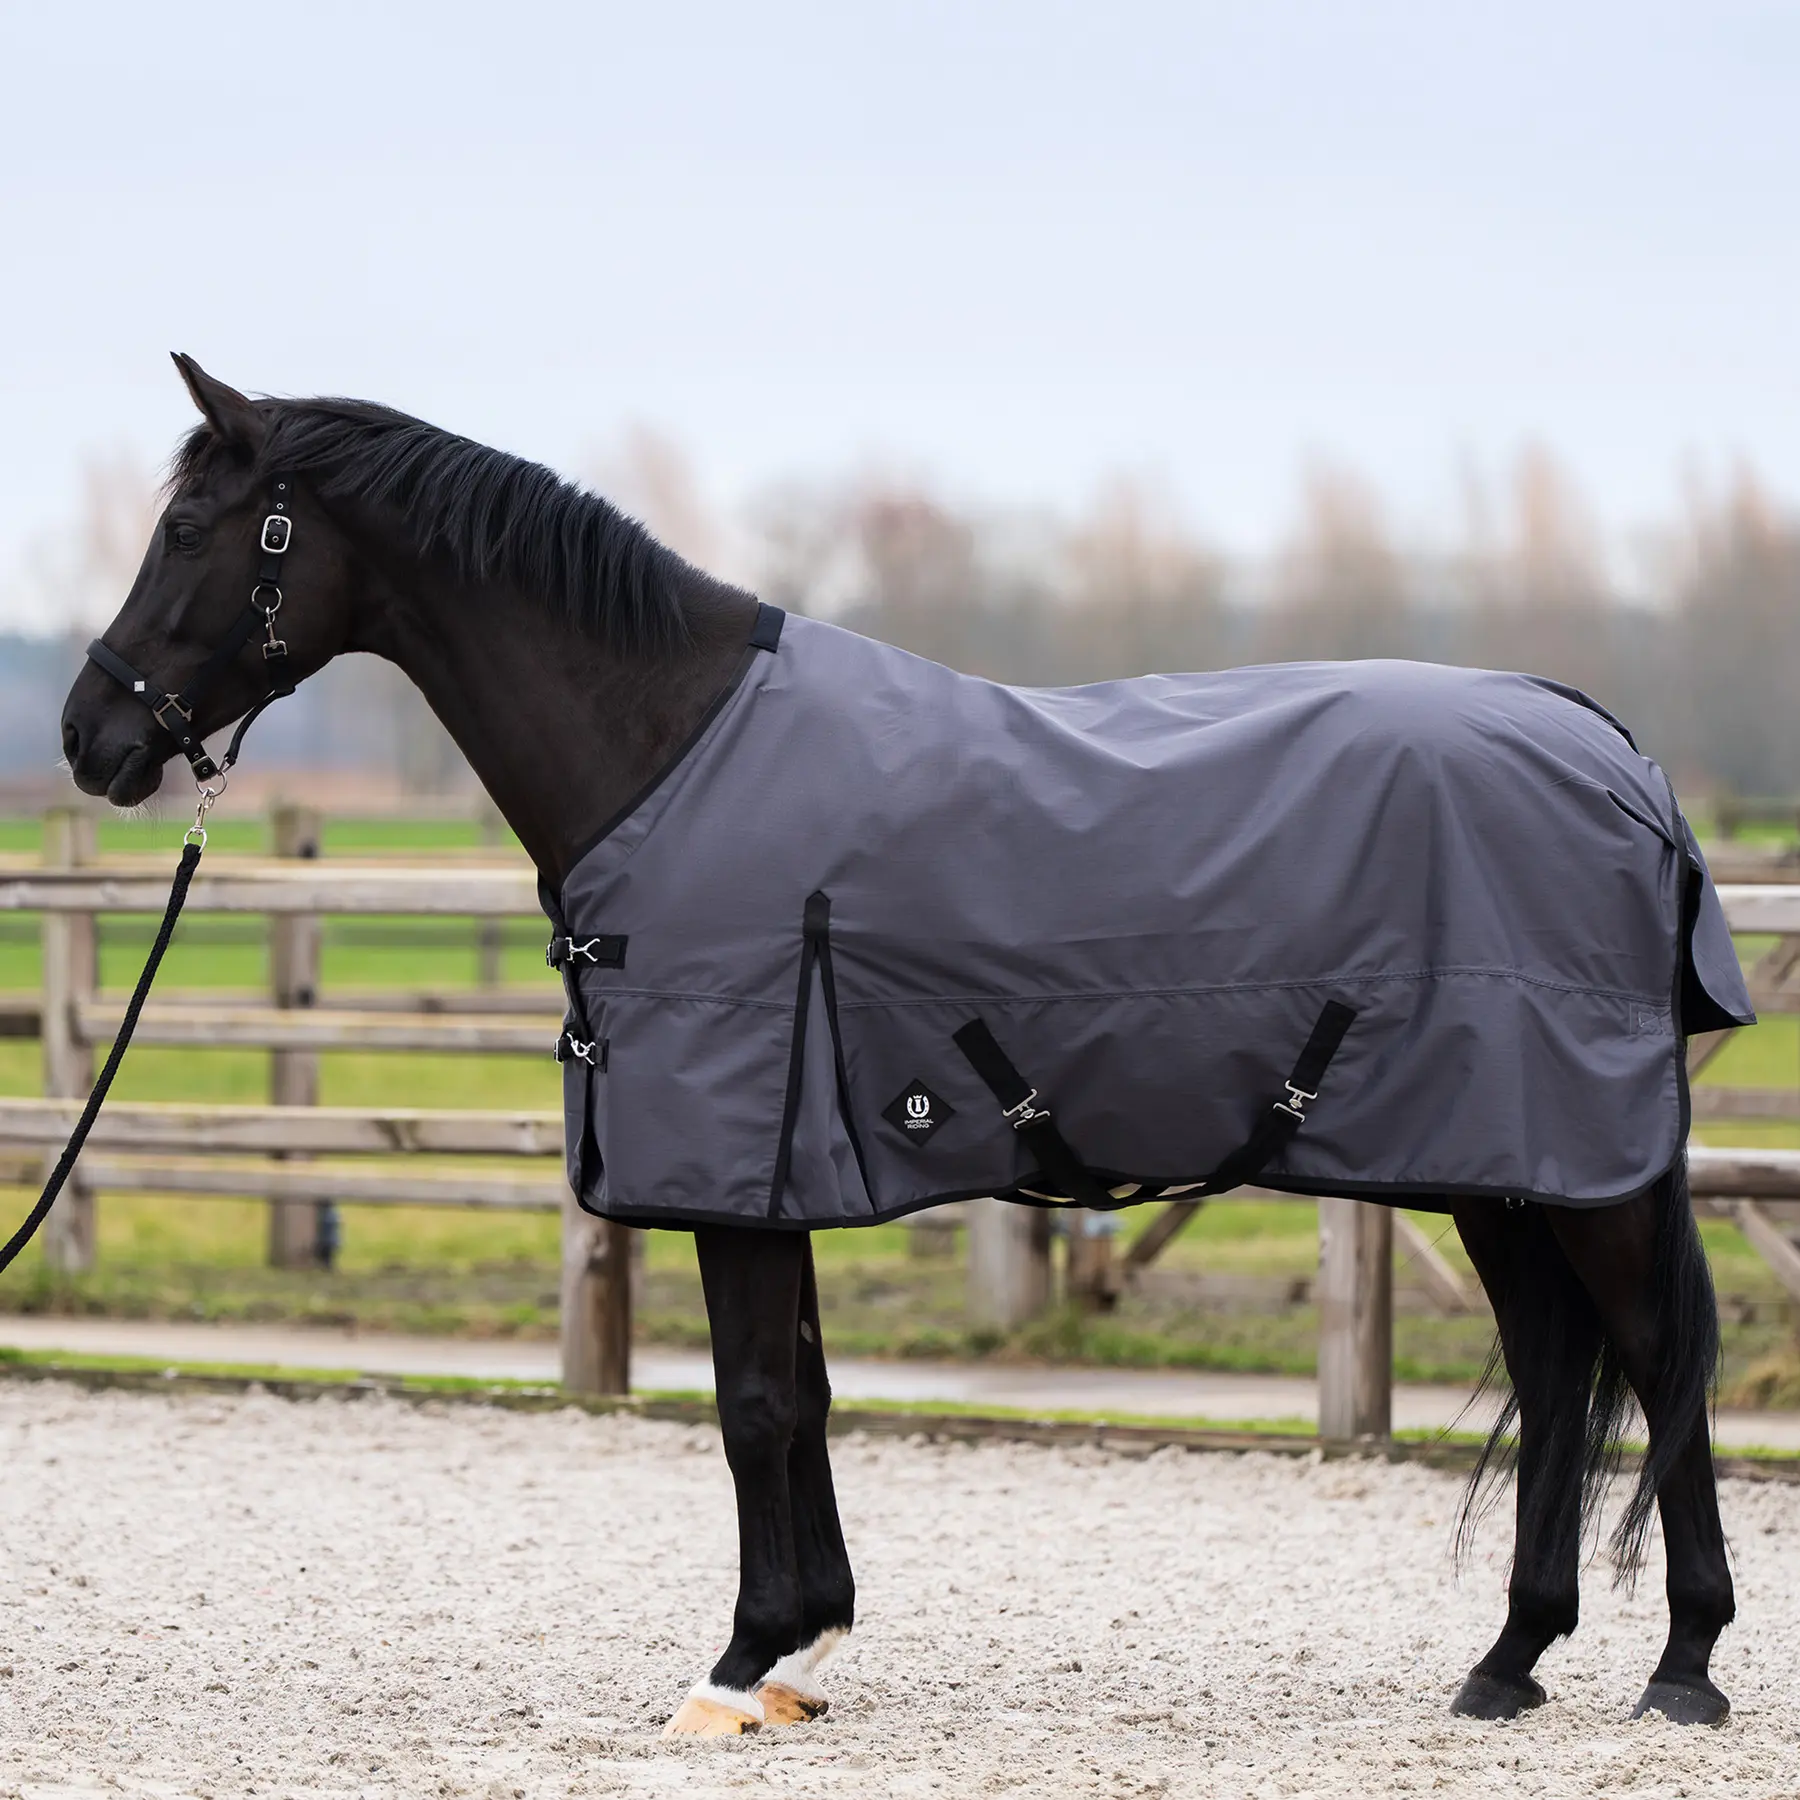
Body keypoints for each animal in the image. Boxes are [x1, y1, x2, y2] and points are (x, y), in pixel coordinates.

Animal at [58, 354, 1741, 1735]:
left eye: (192, 530)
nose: (91, 737)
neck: (669, 747)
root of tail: (1614, 752)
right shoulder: (783, 1162)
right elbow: (799, 1393)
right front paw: (806, 1648)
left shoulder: (738, 1156)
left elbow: (751, 1401)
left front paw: (738, 1665)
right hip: (1507, 1170)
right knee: (1561, 1368)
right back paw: (1509, 1662)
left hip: (1579, 1170)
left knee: (1660, 1361)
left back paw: (1683, 1667)